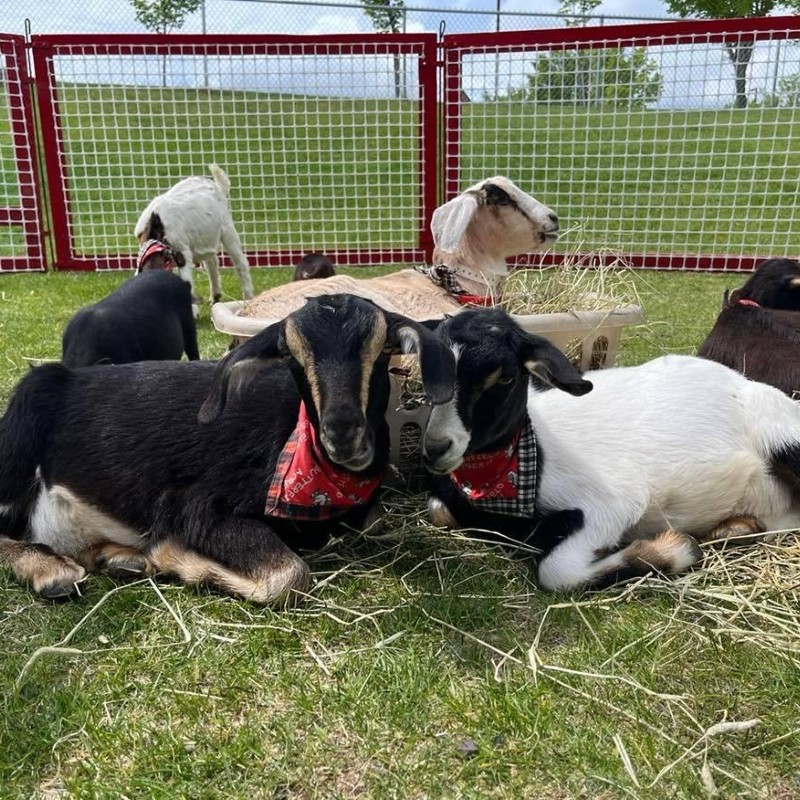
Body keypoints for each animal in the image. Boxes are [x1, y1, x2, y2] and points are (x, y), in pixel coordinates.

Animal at [0, 295, 455, 604]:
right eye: (291, 356)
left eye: (380, 350)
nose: (342, 434)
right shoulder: (194, 504)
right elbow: (288, 577)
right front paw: (172, 557)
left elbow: (373, 520)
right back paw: (49, 570)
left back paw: (118, 559)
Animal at [135, 164, 255, 316]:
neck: (155, 232)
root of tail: (218, 186)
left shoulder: (182, 251)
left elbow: (187, 280)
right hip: (204, 238)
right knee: (212, 262)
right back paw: (215, 296)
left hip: (227, 229)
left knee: (240, 263)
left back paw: (249, 298)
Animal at [421, 307, 800, 593]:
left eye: (505, 377)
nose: (436, 447)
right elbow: (439, 510)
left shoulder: (613, 504)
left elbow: (557, 572)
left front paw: (676, 548)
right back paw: (736, 529)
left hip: (783, 433)